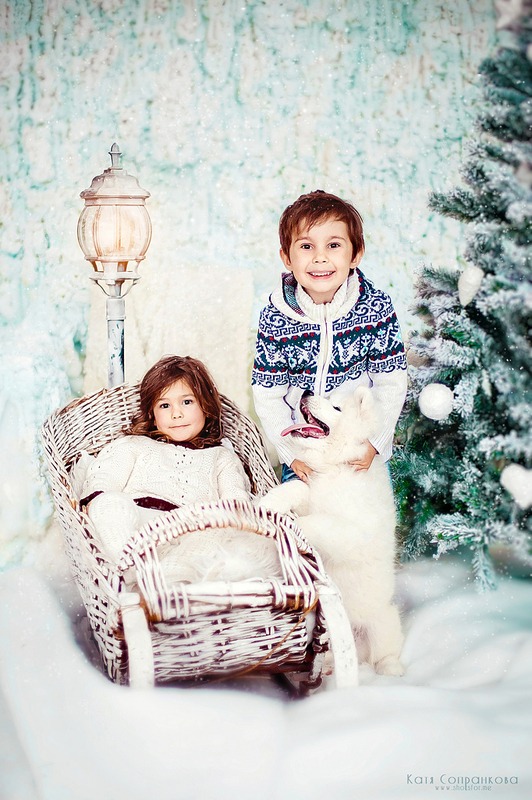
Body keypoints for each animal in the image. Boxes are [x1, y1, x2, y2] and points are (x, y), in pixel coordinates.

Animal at [258, 386, 405, 676]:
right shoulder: (311, 493)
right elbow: (298, 488)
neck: (335, 466)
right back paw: (326, 667)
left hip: (383, 621)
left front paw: (292, 528)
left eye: (336, 407)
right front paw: (269, 502)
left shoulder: (353, 532)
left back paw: (390, 670)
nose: (306, 391)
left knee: (385, 652)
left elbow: (319, 523)